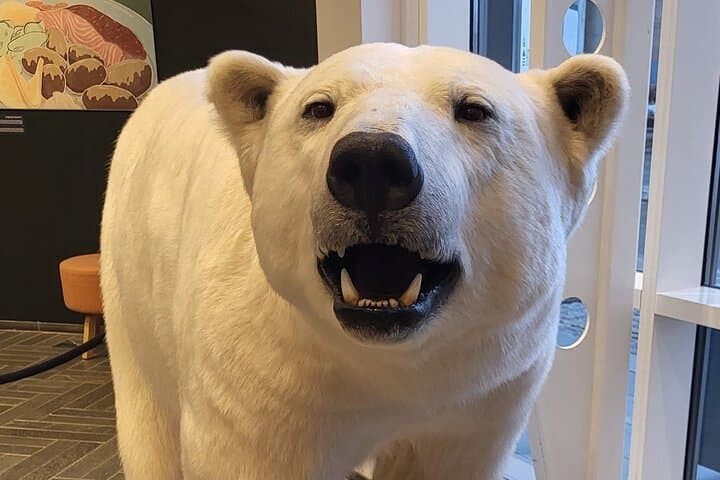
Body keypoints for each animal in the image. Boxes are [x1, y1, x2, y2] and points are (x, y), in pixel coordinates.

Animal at [100, 43, 628, 479]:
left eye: (474, 110)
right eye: (319, 107)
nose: (373, 162)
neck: (380, 363)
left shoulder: (480, 396)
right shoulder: (261, 384)